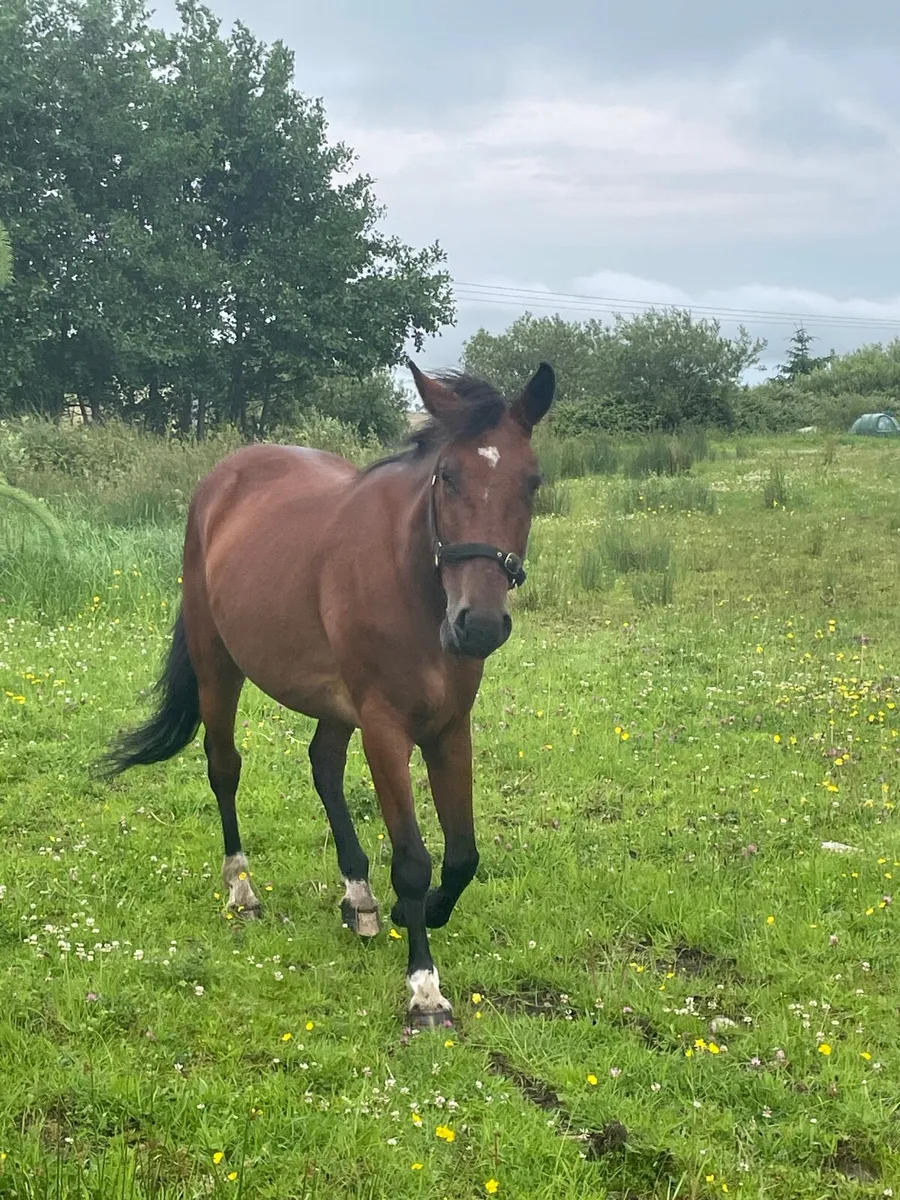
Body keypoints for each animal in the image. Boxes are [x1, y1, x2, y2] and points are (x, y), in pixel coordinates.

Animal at [102, 360, 555, 1026]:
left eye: (532, 481)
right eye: (447, 477)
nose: (478, 625)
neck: (414, 586)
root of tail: (221, 479)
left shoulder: (450, 729)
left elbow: (463, 856)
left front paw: (415, 910)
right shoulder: (386, 728)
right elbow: (414, 861)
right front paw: (424, 988)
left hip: (337, 704)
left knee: (323, 766)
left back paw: (359, 896)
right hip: (220, 669)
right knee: (224, 767)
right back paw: (242, 887)